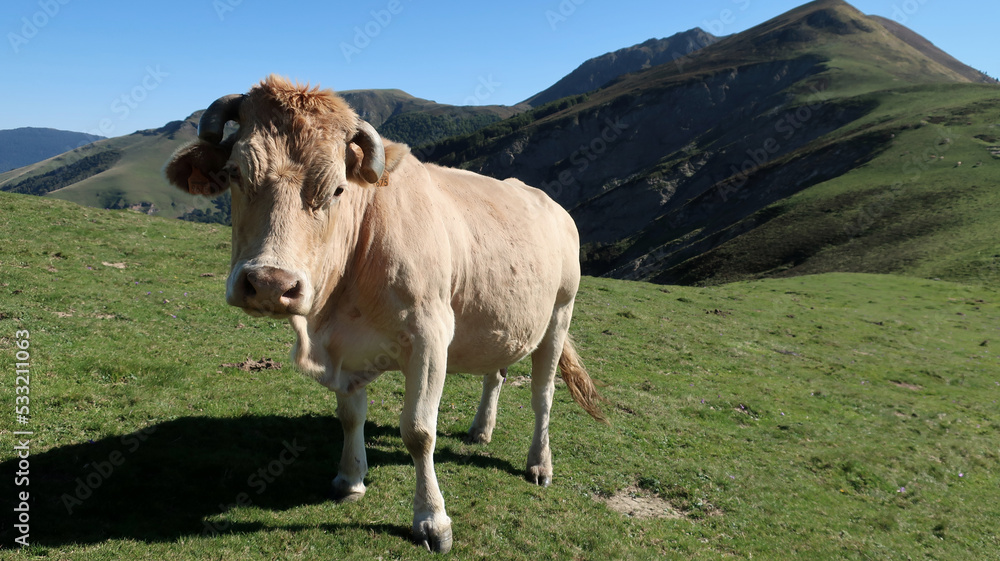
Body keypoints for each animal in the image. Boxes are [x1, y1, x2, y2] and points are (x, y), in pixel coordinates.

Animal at [164, 76, 604, 552]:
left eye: (337, 189)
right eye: (234, 174)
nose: (270, 284)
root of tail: (547, 201)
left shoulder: (430, 337)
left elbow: (418, 430)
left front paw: (432, 520)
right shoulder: (341, 346)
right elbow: (350, 415)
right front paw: (350, 479)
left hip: (559, 313)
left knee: (543, 394)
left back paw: (539, 464)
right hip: (501, 317)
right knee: (497, 372)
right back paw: (481, 430)